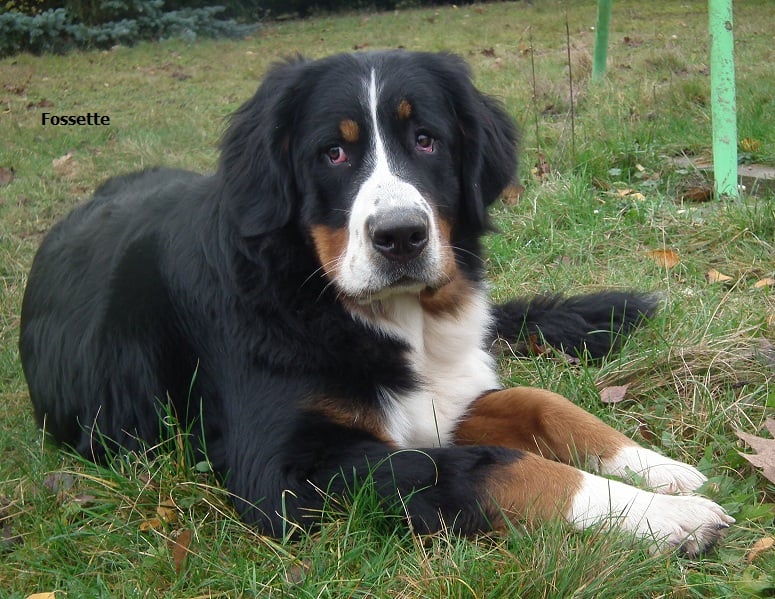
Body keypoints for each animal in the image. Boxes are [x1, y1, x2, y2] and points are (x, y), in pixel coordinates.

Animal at [19, 49, 732, 556]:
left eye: (427, 140)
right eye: (333, 152)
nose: (400, 236)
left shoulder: (447, 398)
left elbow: (544, 404)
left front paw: (659, 470)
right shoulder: (288, 470)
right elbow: (491, 467)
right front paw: (662, 515)